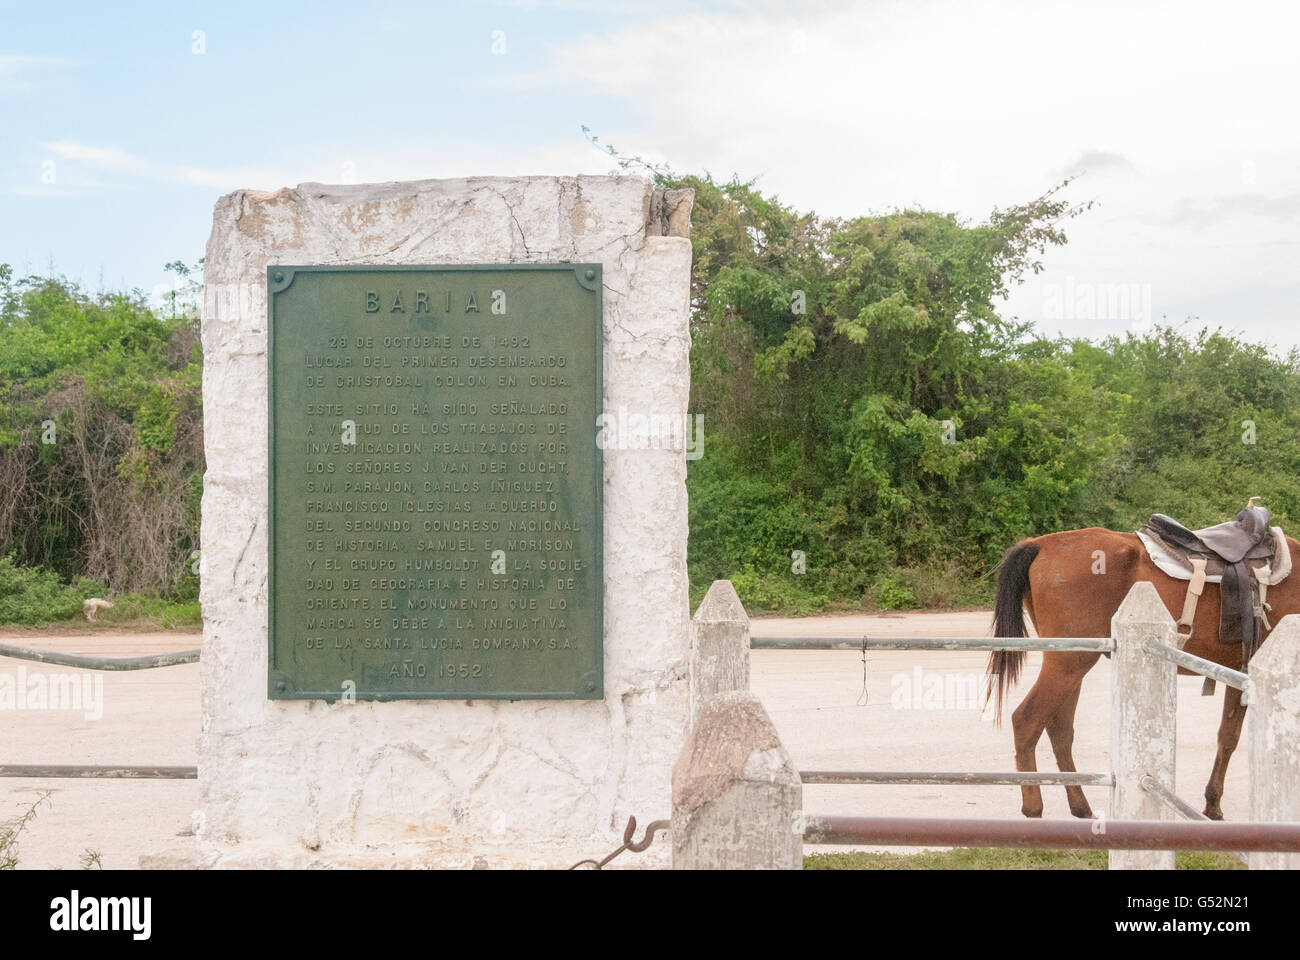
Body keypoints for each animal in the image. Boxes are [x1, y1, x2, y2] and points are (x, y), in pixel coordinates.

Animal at [982, 528, 1300, 816]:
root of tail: (1039, 544)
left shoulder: (1236, 673)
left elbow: (1227, 736)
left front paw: (1211, 803)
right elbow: (1231, 739)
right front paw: (1213, 806)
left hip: (1071, 664)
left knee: (1059, 730)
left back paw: (1081, 806)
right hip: (1068, 664)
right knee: (1027, 721)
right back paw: (1033, 807)